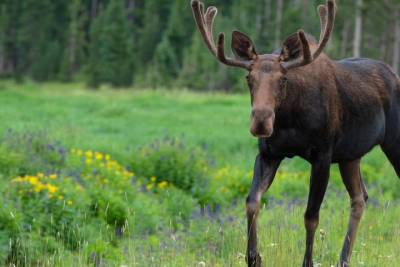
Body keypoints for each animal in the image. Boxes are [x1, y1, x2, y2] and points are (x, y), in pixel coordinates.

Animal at [191, 0, 400, 266]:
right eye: (248, 77)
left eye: (283, 78)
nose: (261, 121)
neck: (289, 121)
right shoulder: (269, 153)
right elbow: (252, 201)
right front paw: (254, 257)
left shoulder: (322, 155)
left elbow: (311, 216)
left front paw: (307, 262)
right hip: (350, 155)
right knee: (359, 198)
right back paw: (343, 259)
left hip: (392, 140)